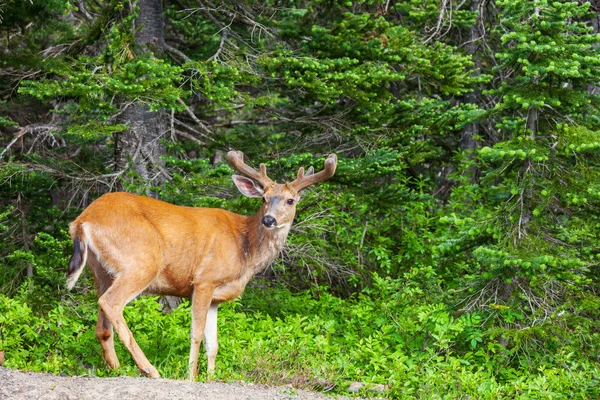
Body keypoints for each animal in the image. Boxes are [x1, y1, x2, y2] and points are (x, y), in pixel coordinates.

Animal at [67, 149, 338, 378]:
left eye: (290, 200)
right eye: (264, 198)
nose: (269, 220)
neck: (245, 248)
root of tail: (82, 221)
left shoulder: (216, 296)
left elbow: (213, 343)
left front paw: (210, 377)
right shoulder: (204, 280)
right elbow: (196, 334)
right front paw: (191, 377)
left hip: (101, 271)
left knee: (102, 326)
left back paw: (117, 369)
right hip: (142, 261)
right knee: (111, 303)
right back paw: (149, 369)